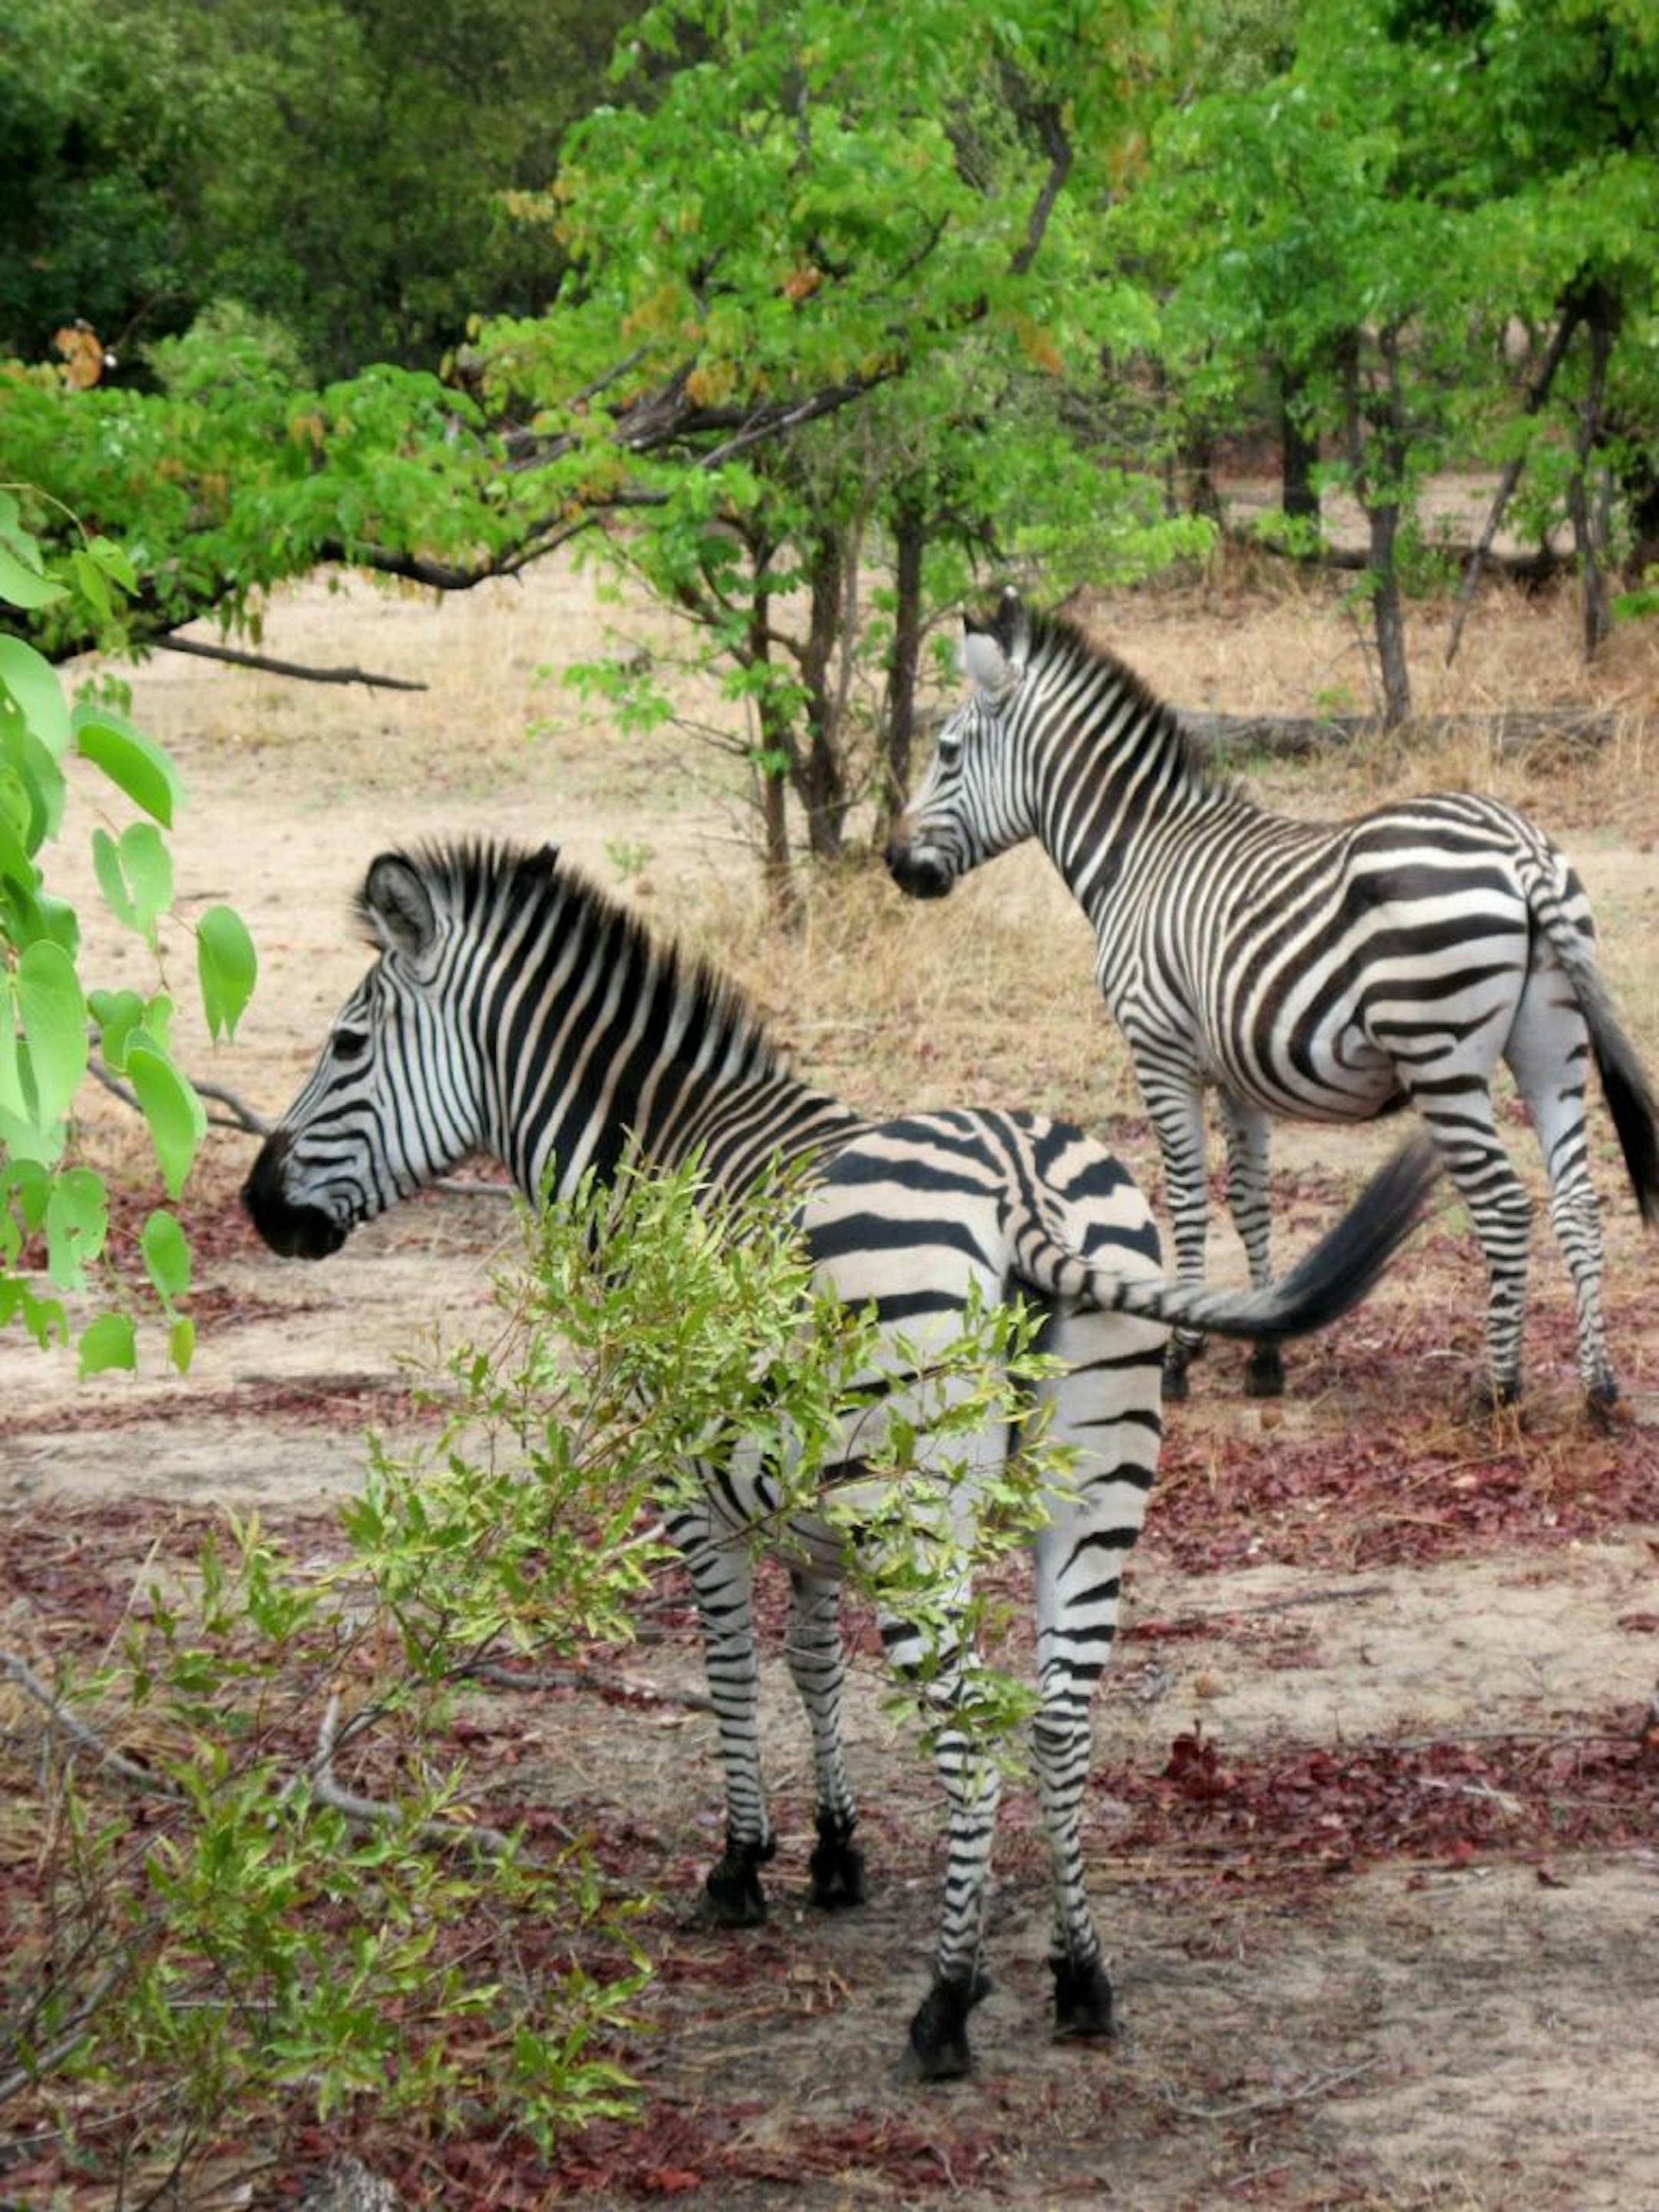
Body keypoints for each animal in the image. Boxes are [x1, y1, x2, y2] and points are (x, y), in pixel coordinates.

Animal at [242, 837, 1436, 2078]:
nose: (258, 1208)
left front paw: (743, 1863)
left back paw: (947, 2007)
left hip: (915, 1512)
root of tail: (1020, 1183)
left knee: (970, 1739)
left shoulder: (690, 1481)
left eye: (346, 1044)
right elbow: (815, 1663)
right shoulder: (804, 1505)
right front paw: (837, 1851)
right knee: (1060, 1721)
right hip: (1089, 1491)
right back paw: (1082, 1979)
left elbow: (730, 1664)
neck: (655, 1155)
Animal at [886, 590, 1659, 1416]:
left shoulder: (1159, 1051)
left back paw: (1498, 1388)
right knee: (1577, 1202)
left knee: (1507, 1207)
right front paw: (1264, 1350)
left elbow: (1188, 1198)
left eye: (947, 753)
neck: (1137, 856)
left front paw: (1179, 1359)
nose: (895, 863)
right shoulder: (1236, 1072)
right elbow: (1250, 1201)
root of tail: (1520, 850)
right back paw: (1599, 1388)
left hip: (1440, 1058)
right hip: (1552, 1046)